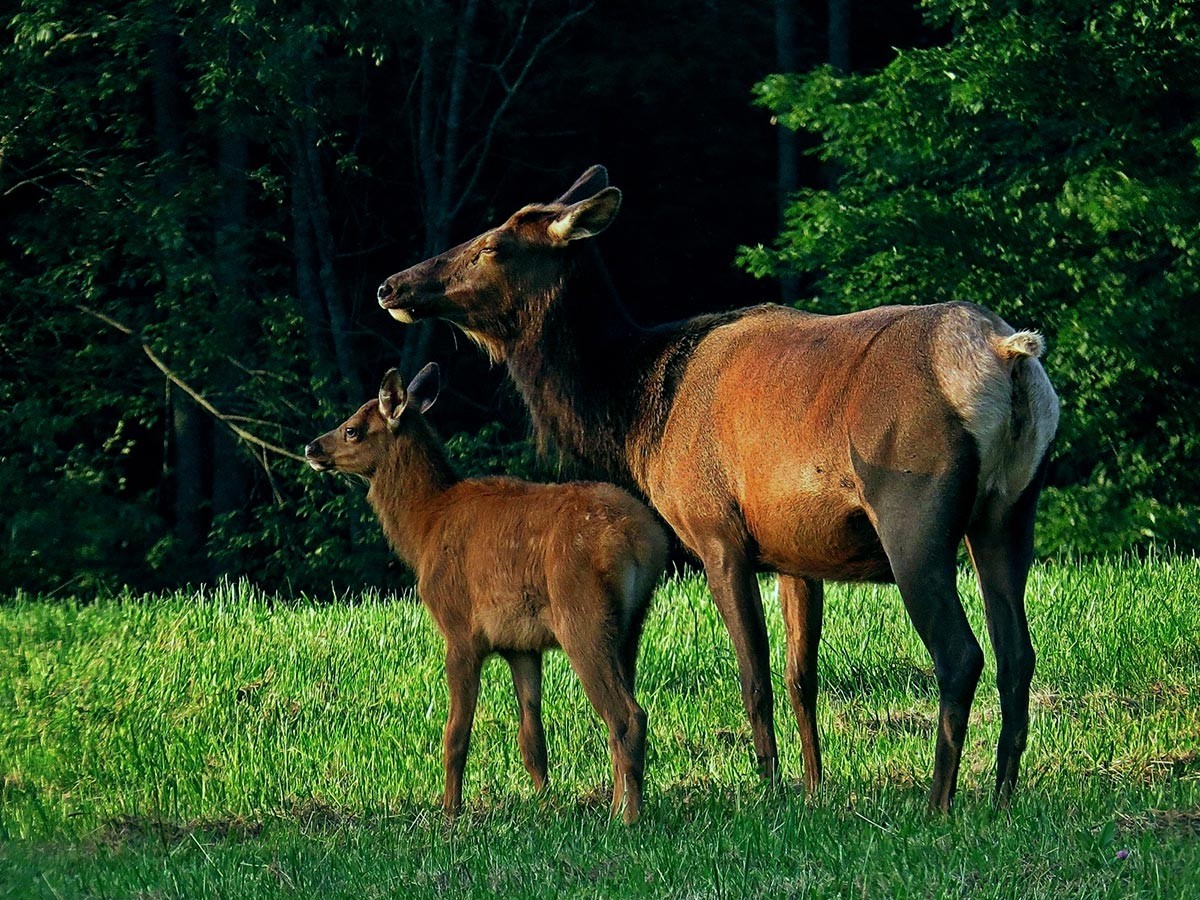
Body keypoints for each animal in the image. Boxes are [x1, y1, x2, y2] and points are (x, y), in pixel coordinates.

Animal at [305, 363, 668, 824]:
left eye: (352, 429)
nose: (311, 447)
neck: (424, 528)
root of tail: (644, 541)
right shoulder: (521, 644)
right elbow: (532, 738)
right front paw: (545, 804)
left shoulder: (460, 629)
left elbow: (456, 733)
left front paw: (450, 811)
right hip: (631, 623)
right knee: (618, 715)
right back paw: (618, 805)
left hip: (582, 614)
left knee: (626, 715)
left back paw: (627, 818)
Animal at [373, 167, 1061, 811]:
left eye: (494, 245)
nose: (390, 285)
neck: (642, 416)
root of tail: (1006, 353)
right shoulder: (795, 551)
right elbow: (800, 677)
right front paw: (814, 789)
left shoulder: (715, 531)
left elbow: (754, 678)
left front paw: (769, 791)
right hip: (1011, 511)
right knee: (1017, 654)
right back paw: (1002, 795)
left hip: (913, 510)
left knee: (961, 653)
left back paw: (940, 802)